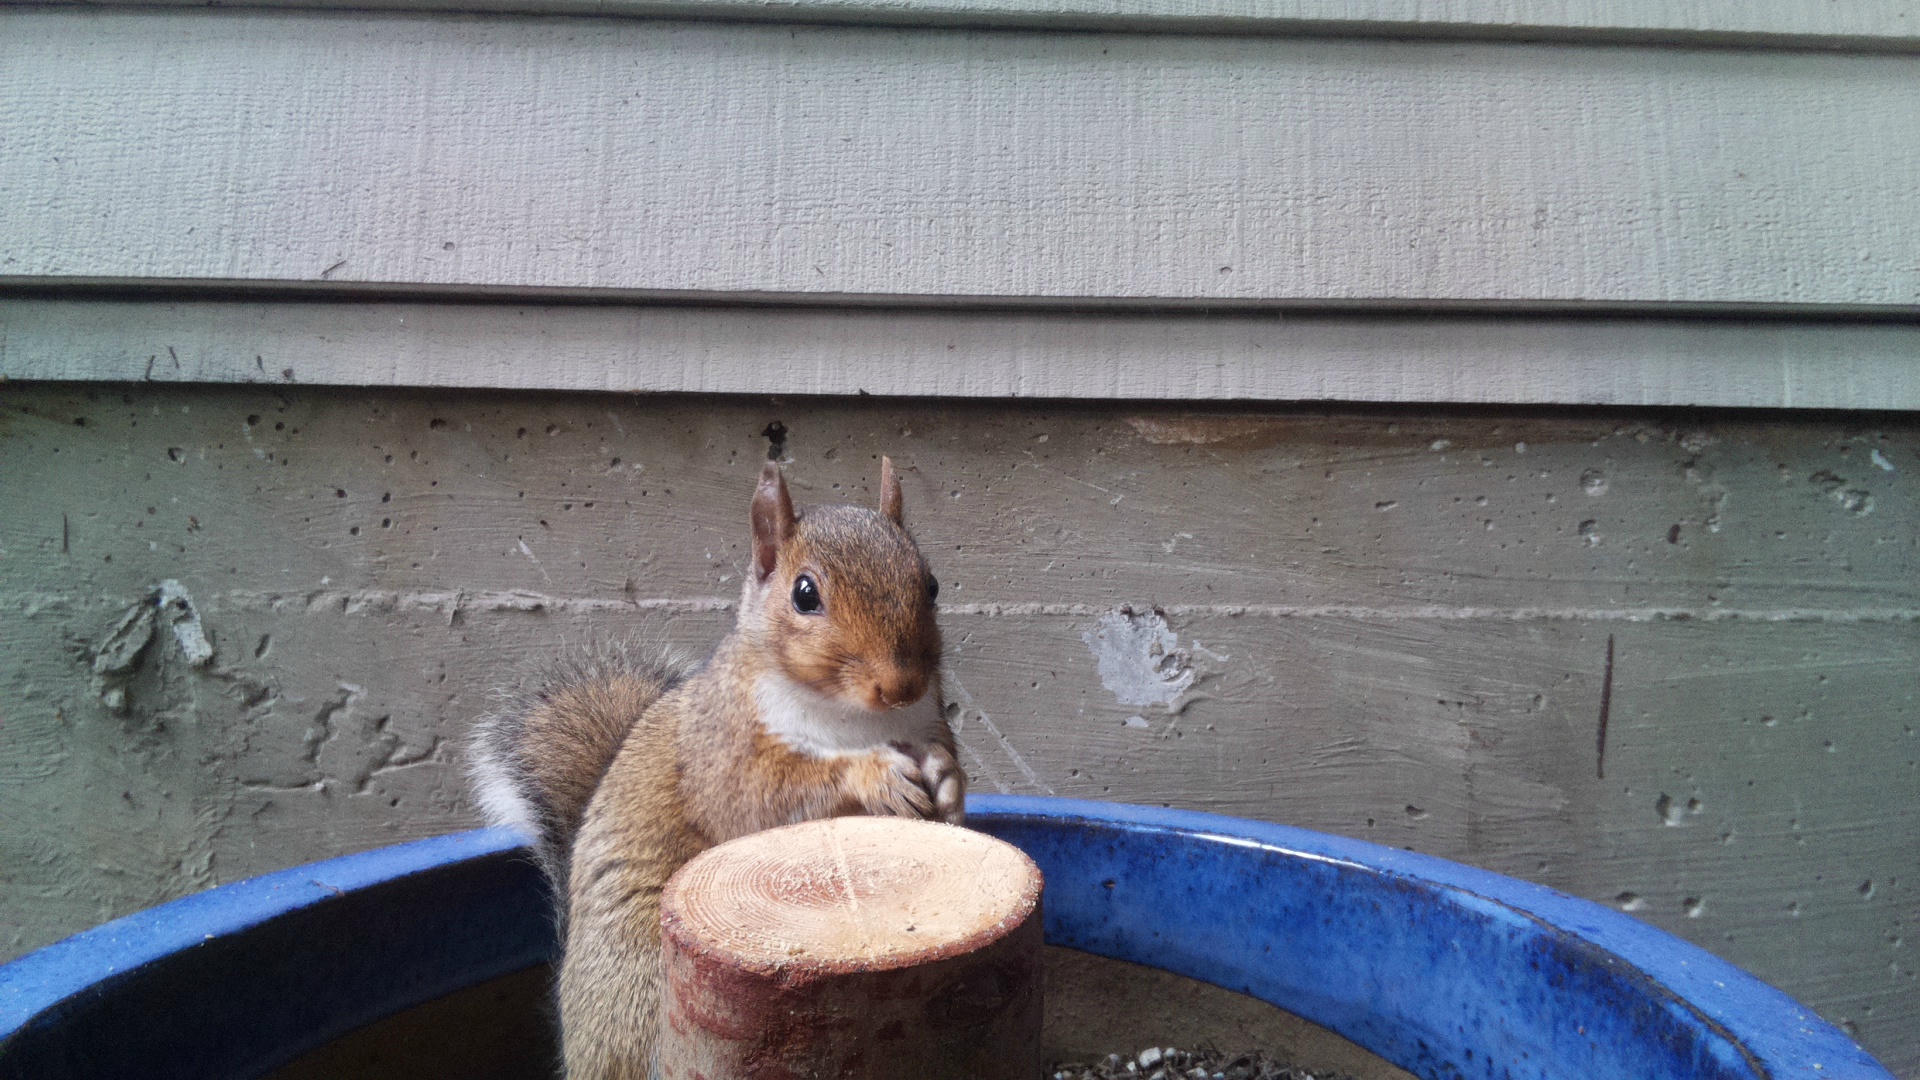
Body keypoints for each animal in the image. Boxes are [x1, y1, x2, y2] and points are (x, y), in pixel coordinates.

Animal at [469, 456, 964, 1080]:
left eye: (932, 584)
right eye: (805, 594)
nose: (901, 687)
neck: (857, 720)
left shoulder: (924, 722)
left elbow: (940, 758)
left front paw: (948, 782)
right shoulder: (725, 752)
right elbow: (769, 793)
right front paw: (874, 776)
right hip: (647, 978)